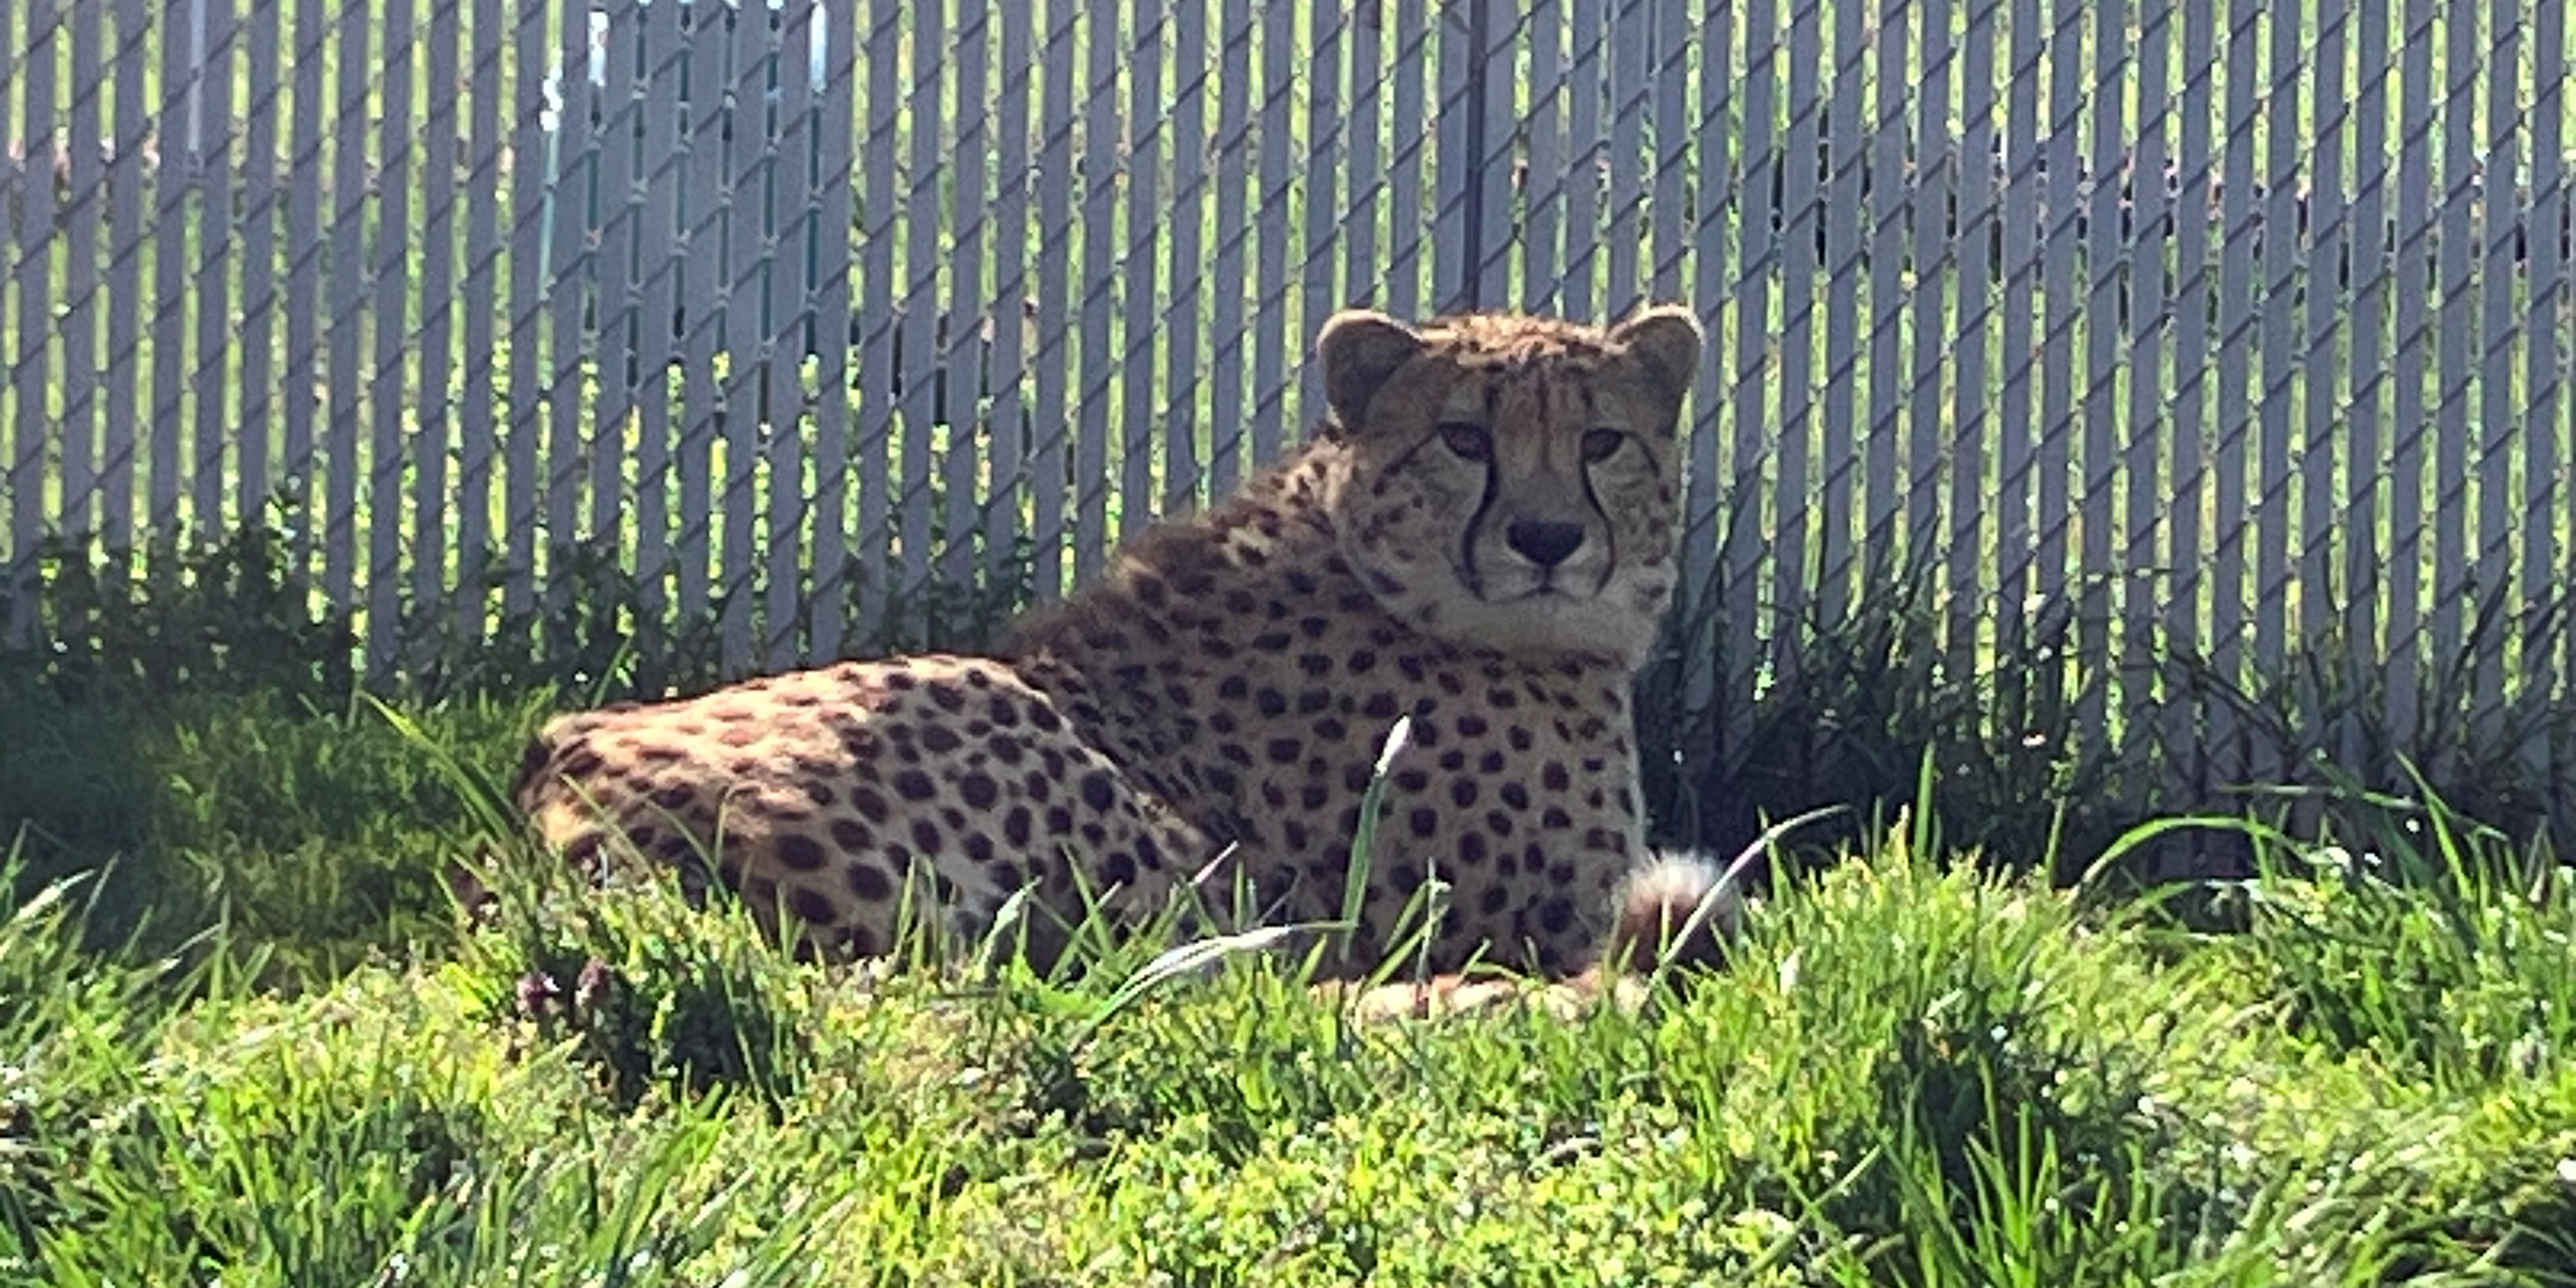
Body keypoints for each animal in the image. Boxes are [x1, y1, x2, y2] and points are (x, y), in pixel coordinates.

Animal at [507, 306, 1731, 989]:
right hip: (1100, 805)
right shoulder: (1525, 917)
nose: (1547, 539)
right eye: (1464, 439)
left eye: (1602, 441)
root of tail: (561, 810)